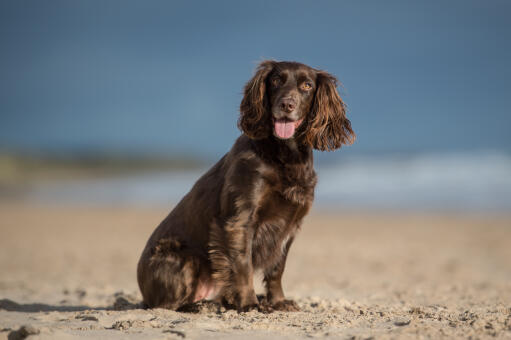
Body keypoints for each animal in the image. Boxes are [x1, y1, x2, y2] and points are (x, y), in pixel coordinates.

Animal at [137, 60, 356, 310]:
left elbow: (277, 268)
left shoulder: (290, 224)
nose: (286, 104)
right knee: (168, 304)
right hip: (182, 258)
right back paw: (203, 305)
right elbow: (243, 264)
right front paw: (248, 303)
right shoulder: (240, 220)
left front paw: (278, 301)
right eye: (276, 80)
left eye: (307, 85)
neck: (284, 154)